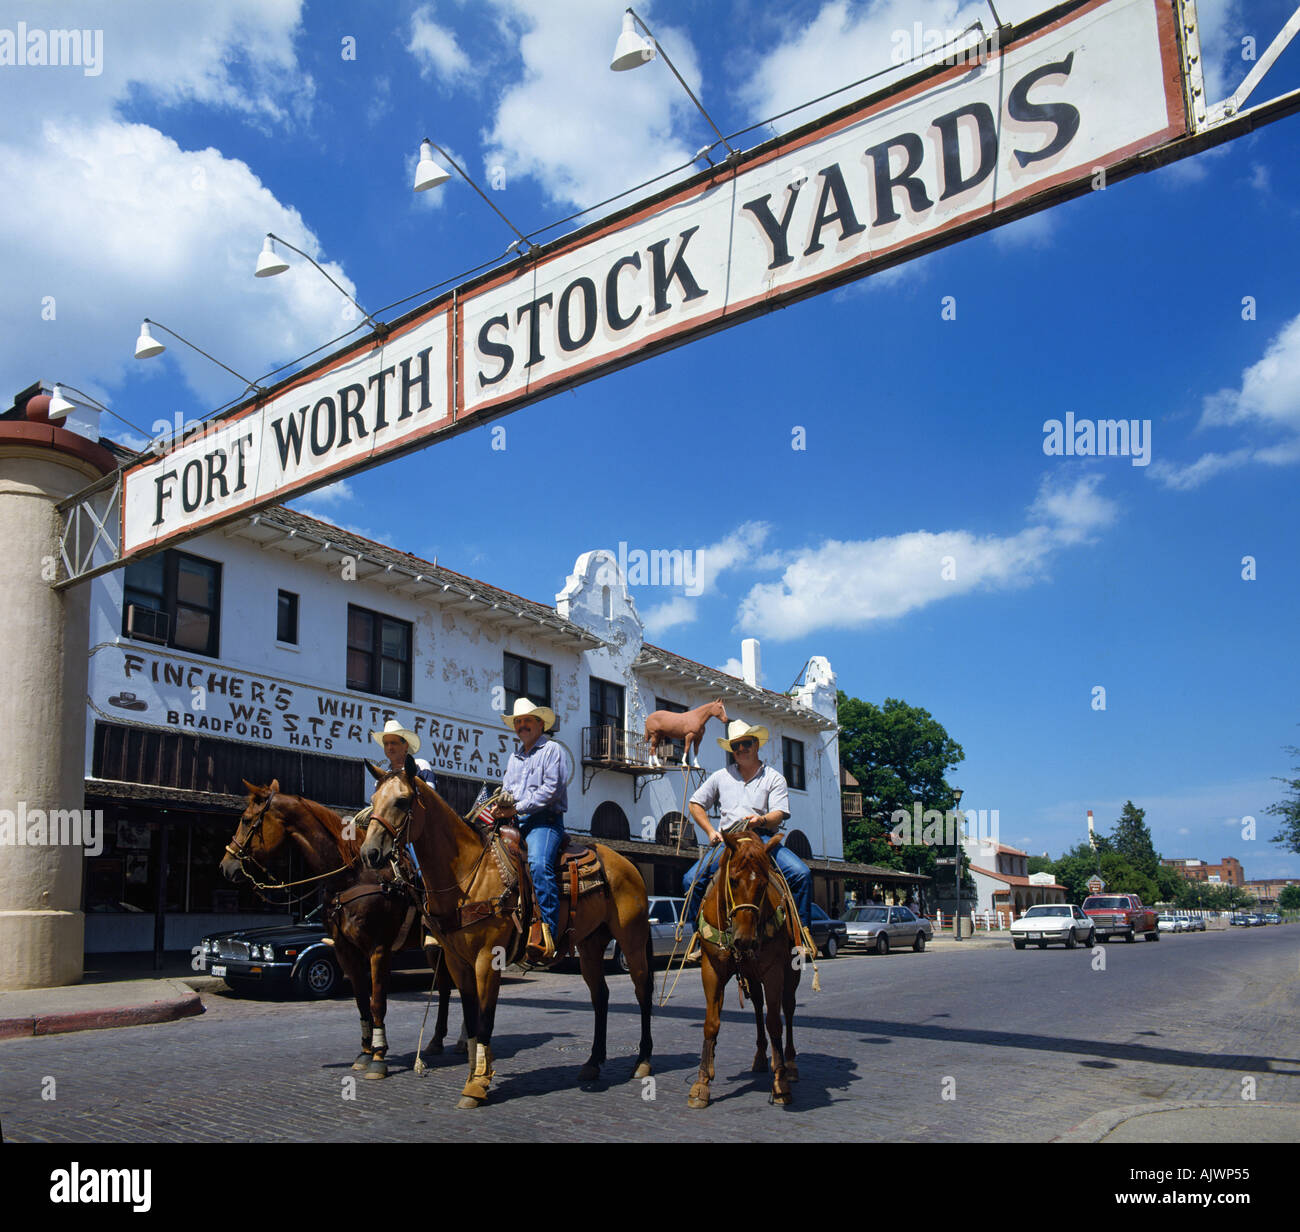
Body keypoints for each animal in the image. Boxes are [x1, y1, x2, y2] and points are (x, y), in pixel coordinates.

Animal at [220, 779, 465, 1076]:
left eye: (246, 820)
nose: (226, 866)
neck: (353, 878)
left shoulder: (378, 949)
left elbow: (377, 1001)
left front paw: (379, 1056)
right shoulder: (345, 951)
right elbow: (360, 999)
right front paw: (365, 1052)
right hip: (434, 948)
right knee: (445, 988)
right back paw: (438, 1041)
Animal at [358, 753, 655, 1112]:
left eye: (402, 801)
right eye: (374, 799)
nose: (370, 853)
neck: (466, 874)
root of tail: (628, 865)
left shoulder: (489, 959)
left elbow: (485, 1019)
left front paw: (476, 1085)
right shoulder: (458, 962)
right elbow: (471, 1017)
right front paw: (475, 1073)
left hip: (631, 939)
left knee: (642, 991)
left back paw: (642, 1060)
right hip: (589, 945)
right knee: (601, 996)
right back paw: (593, 1062)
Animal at [686, 826, 795, 1107]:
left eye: (764, 883)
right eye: (733, 880)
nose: (744, 939)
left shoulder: (774, 971)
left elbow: (774, 1022)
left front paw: (781, 1084)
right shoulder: (712, 969)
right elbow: (711, 1022)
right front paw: (702, 1083)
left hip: (791, 972)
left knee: (788, 1009)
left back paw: (790, 1064)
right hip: (750, 975)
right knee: (757, 1006)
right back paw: (759, 1059)